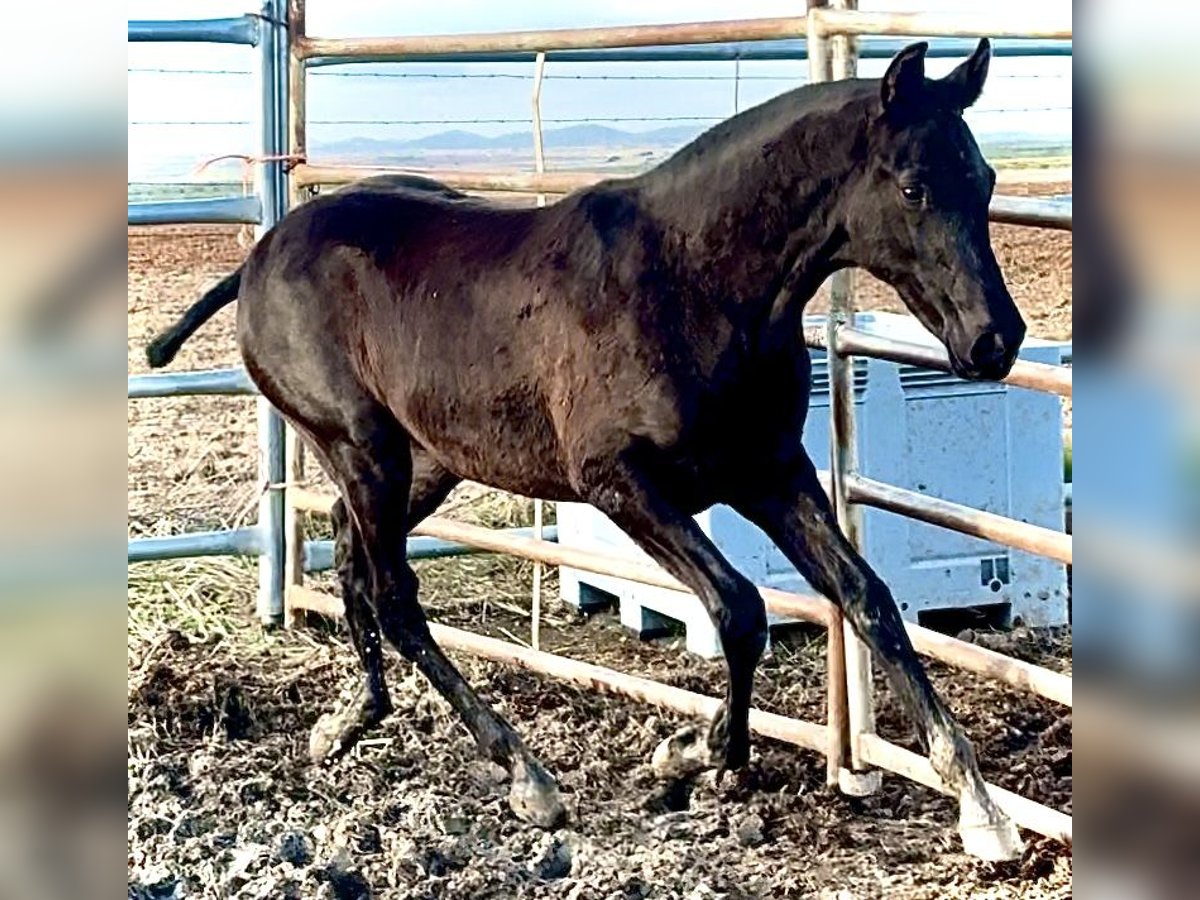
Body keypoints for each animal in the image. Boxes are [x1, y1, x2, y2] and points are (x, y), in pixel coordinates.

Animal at [146, 39, 1026, 860]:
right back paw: (524, 775)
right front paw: (693, 754)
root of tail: (258, 258)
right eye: (913, 187)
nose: (995, 339)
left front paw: (981, 809)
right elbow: (739, 609)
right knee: (394, 593)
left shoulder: (771, 473)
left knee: (355, 561)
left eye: (983, 180)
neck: (696, 283)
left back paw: (348, 721)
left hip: (425, 461)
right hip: (363, 447)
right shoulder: (619, 481)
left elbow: (867, 598)